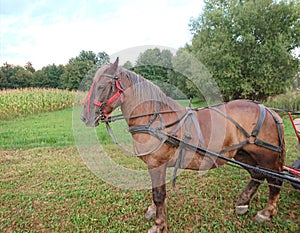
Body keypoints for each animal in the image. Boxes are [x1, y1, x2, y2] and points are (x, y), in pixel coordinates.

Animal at [80, 57, 286, 232]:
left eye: (101, 86)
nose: (84, 117)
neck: (154, 118)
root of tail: (269, 111)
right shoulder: (156, 165)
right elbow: (156, 191)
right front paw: (153, 211)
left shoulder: (157, 163)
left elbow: (159, 195)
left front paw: (159, 224)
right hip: (244, 154)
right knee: (257, 175)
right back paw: (243, 202)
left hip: (266, 157)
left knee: (275, 181)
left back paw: (266, 212)